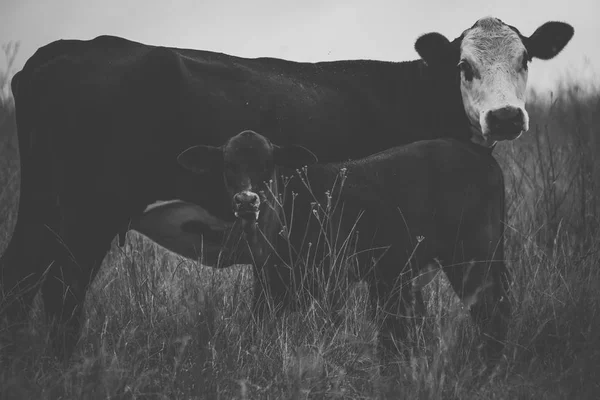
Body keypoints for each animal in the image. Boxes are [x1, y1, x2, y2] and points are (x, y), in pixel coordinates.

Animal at [176, 130, 508, 366]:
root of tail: (478, 151)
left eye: (268, 165)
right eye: (228, 165)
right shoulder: (268, 284)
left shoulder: (332, 280)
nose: (247, 200)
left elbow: (330, 328)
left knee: (490, 312)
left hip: (474, 255)